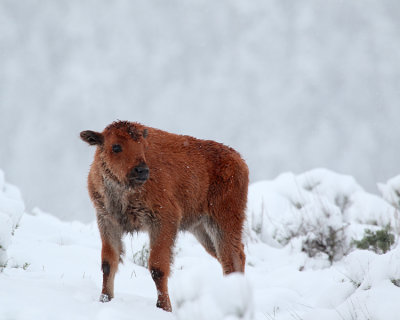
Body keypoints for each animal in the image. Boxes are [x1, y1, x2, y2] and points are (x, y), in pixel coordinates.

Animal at [80, 120, 248, 310]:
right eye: (116, 147)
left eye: (143, 146)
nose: (142, 170)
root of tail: (238, 159)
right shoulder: (107, 222)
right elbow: (108, 263)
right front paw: (105, 299)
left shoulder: (163, 221)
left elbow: (157, 267)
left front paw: (164, 307)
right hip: (202, 230)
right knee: (229, 256)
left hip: (223, 222)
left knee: (232, 258)